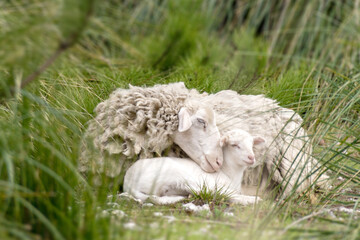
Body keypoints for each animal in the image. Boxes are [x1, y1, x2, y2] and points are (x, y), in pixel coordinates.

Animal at [122, 128, 266, 205]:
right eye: (234, 145)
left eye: (252, 144)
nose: (251, 157)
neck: (228, 173)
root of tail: (128, 182)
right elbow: (226, 193)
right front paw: (253, 199)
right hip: (172, 175)